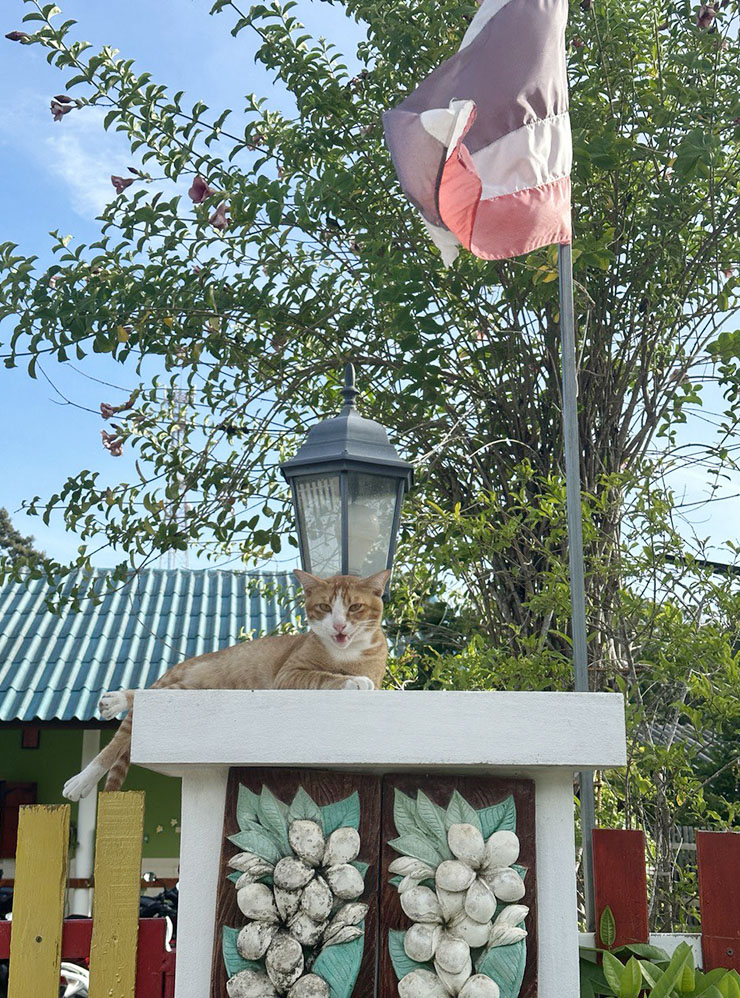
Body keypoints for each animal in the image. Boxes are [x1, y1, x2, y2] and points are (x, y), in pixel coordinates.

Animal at [63, 572, 390, 804]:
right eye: (324, 607)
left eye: (355, 608)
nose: (339, 626)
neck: (345, 655)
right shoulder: (289, 675)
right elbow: (324, 676)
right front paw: (353, 681)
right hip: (178, 687)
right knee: (124, 728)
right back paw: (83, 775)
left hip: (183, 689)